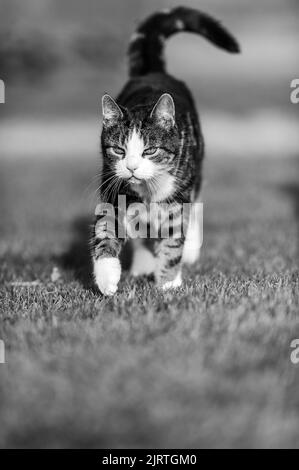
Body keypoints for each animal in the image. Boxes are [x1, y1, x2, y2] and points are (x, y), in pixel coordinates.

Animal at [92, 6, 240, 294]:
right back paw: (142, 263)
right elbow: (105, 230)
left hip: (195, 172)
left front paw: (168, 285)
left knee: (195, 208)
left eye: (150, 151)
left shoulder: (177, 198)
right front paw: (107, 277)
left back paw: (189, 250)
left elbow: (173, 242)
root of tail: (153, 72)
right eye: (118, 150)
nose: (131, 167)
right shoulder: (113, 188)